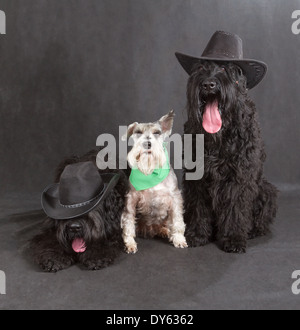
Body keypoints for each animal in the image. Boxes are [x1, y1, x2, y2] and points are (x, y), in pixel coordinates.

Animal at [120, 111, 186, 253]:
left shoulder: (174, 198)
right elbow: (128, 222)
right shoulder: (131, 198)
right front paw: (129, 243)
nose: (147, 143)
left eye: (157, 132)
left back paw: (164, 231)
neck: (150, 173)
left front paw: (179, 239)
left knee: (166, 224)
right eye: (138, 132)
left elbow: (177, 220)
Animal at [177, 31, 278, 253]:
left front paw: (233, 238)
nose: (208, 84)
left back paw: (252, 230)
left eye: (225, 68)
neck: (219, 136)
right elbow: (198, 206)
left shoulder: (239, 176)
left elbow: (236, 207)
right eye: (201, 68)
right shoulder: (196, 176)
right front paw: (197, 234)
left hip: (266, 190)